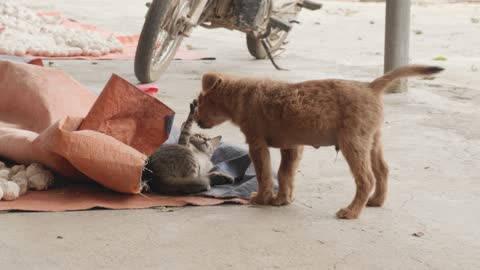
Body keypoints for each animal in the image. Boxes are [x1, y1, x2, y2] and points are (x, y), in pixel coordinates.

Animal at [191, 65, 442, 219]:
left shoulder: (257, 144)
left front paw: (262, 199)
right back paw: (376, 201)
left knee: (366, 178)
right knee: (383, 171)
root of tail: (370, 87)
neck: (241, 94)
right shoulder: (292, 146)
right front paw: (282, 199)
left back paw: (351, 212)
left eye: (201, 101)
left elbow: (264, 175)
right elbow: (285, 174)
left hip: (353, 143)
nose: (195, 119)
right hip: (372, 141)